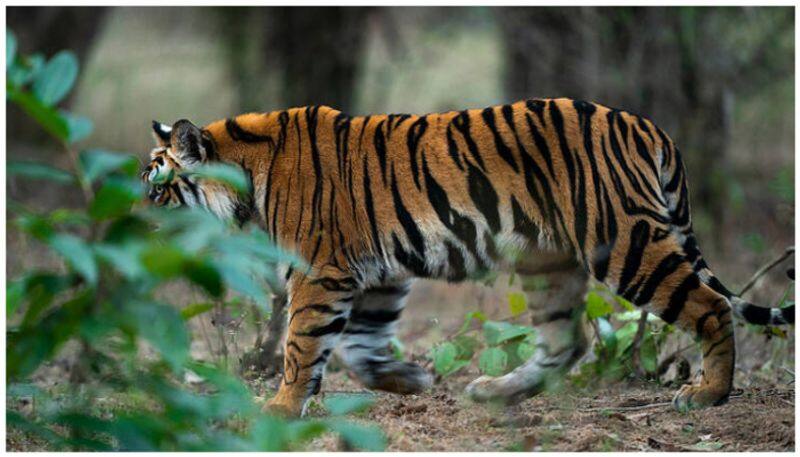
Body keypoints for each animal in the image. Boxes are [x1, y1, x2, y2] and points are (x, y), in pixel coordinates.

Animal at [141, 98, 792, 416]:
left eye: (155, 190)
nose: (133, 229)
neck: (246, 177)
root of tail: (648, 126)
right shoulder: (373, 275)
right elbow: (358, 347)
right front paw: (408, 380)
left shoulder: (319, 272)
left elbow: (302, 347)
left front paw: (277, 407)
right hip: (547, 262)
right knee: (568, 340)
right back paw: (495, 392)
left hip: (624, 242)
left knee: (710, 306)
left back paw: (708, 394)